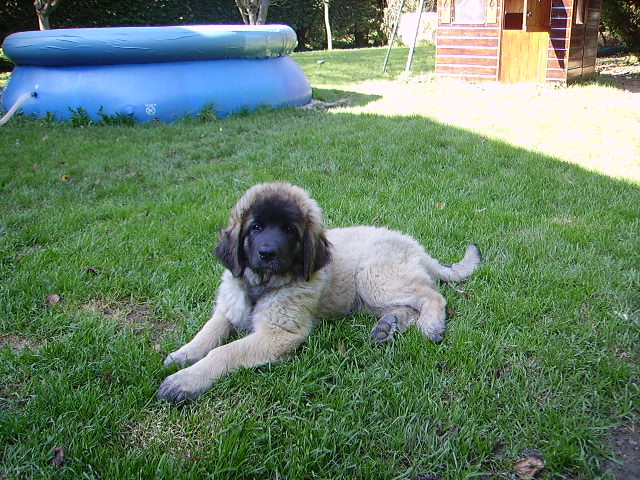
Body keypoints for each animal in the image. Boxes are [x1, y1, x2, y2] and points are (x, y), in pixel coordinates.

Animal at [159, 182, 480, 404]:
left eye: (290, 230)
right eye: (256, 227)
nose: (267, 253)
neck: (261, 285)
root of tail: (415, 246)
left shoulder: (280, 333)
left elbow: (225, 351)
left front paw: (184, 381)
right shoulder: (228, 309)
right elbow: (209, 332)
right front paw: (183, 354)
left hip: (375, 279)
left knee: (433, 296)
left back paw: (430, 325)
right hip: (367, 295)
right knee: (411, 304)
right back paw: (388, 327)